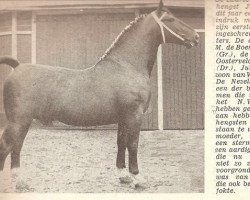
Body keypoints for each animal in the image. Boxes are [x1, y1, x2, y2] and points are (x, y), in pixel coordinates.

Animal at [0, 0, 199, 189]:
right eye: (170, 19)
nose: (196, 36)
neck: (127, 66)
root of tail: (17, 66)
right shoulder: (134, 116)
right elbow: (133, 145)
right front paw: (137, 178)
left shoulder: (123, 118)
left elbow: (121, 142)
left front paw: (123, 175)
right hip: (18, 122)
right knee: (7, 147)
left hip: (23, 123)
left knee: (17, 146)